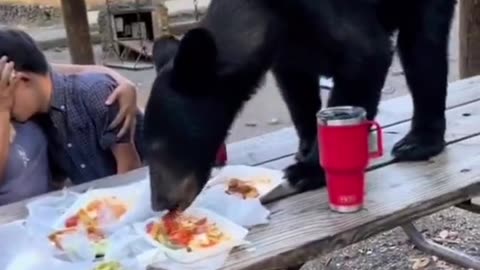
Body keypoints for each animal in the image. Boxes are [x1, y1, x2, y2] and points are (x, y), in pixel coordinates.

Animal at [144, 0, 456, 211]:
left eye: (162, 147)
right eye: (146, 152)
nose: (160, 203)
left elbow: (366, 54)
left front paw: (307, 170)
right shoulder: (289, 48)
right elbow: (297, 89)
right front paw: (305, 147)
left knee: (423, 48)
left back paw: (418, 142)